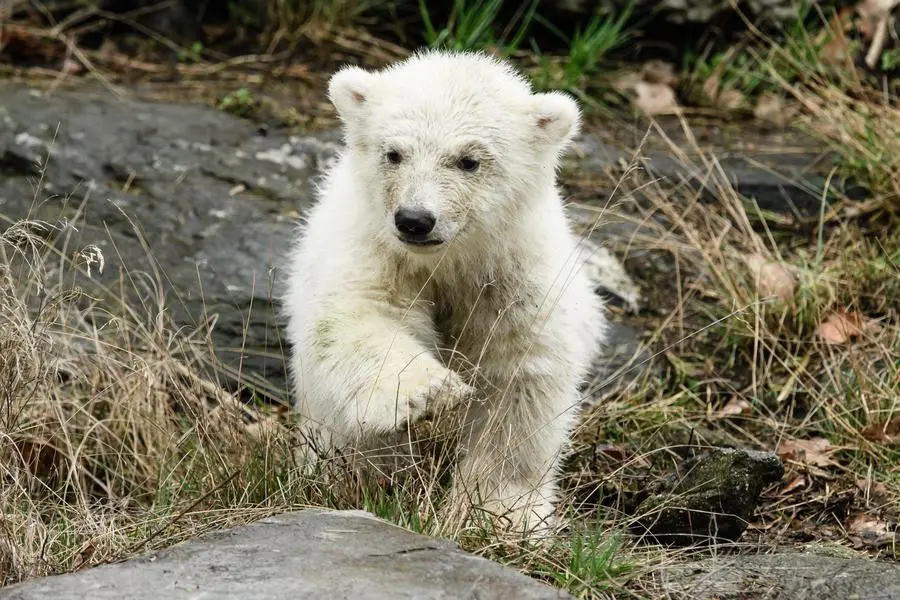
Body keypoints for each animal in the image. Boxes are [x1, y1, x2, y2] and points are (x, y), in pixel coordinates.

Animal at [281, 49, 607, 537]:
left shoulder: (513, 271)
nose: (415, 220)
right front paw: (427, 393)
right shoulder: (374, 248)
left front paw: (502, 516)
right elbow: (357, 316)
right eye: (394, 153)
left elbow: (518, 380)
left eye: (469, 161)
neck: (449, 260)